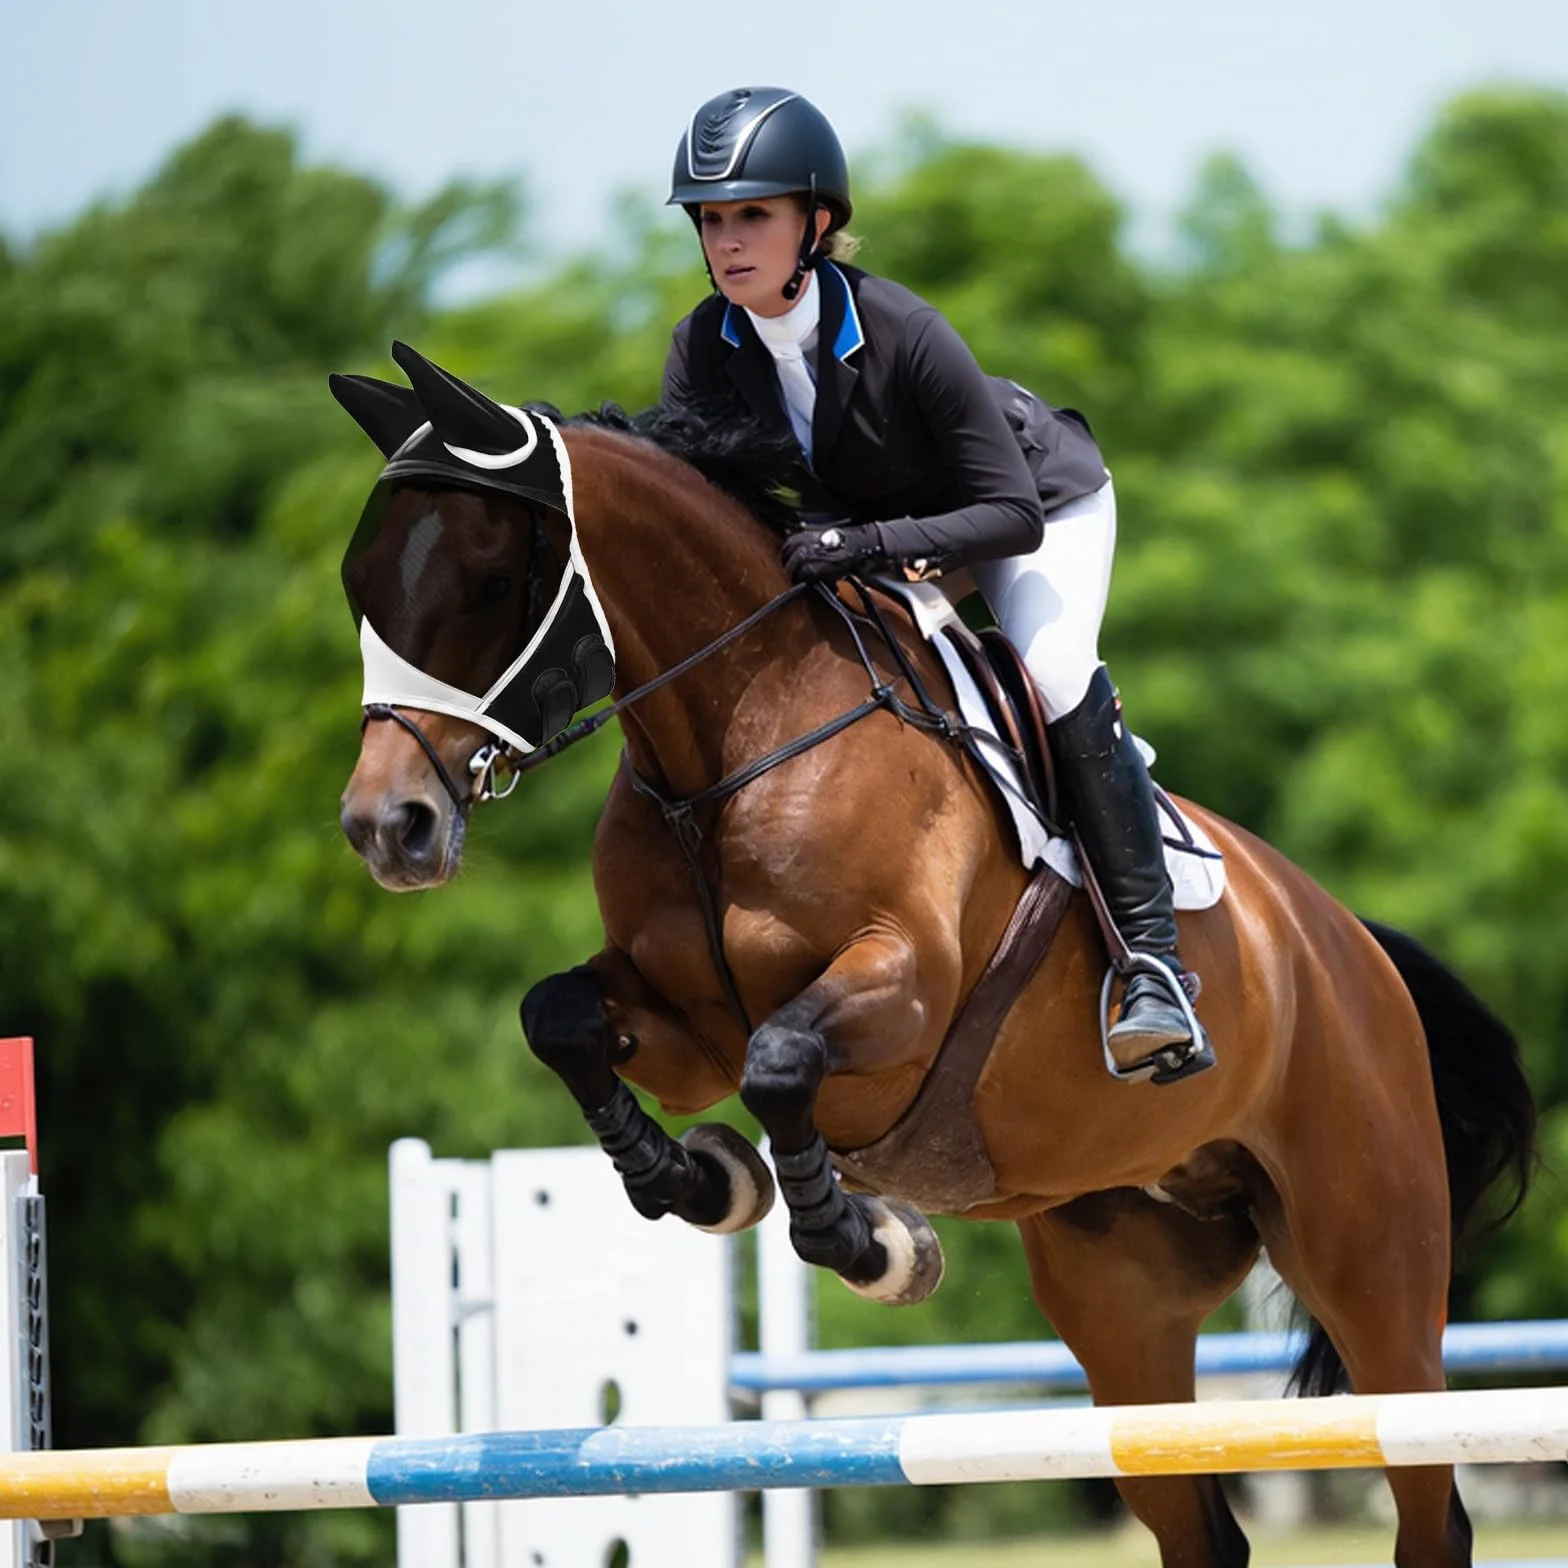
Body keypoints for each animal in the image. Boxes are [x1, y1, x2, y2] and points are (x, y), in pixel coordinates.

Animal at [336, 345, 1535, 1568]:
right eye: (360, 587)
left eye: (491, 581)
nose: (388, 828)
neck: (736, 738)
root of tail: (1342, 937)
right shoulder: (679, 1027)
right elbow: (562, 1018)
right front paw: (703, 1180)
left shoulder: (900, 994)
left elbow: (781, 1061)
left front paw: (869, 1239)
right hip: (1124, 1297)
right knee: (1198, 1525)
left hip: (1371, 1263)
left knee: (1427, 1500)